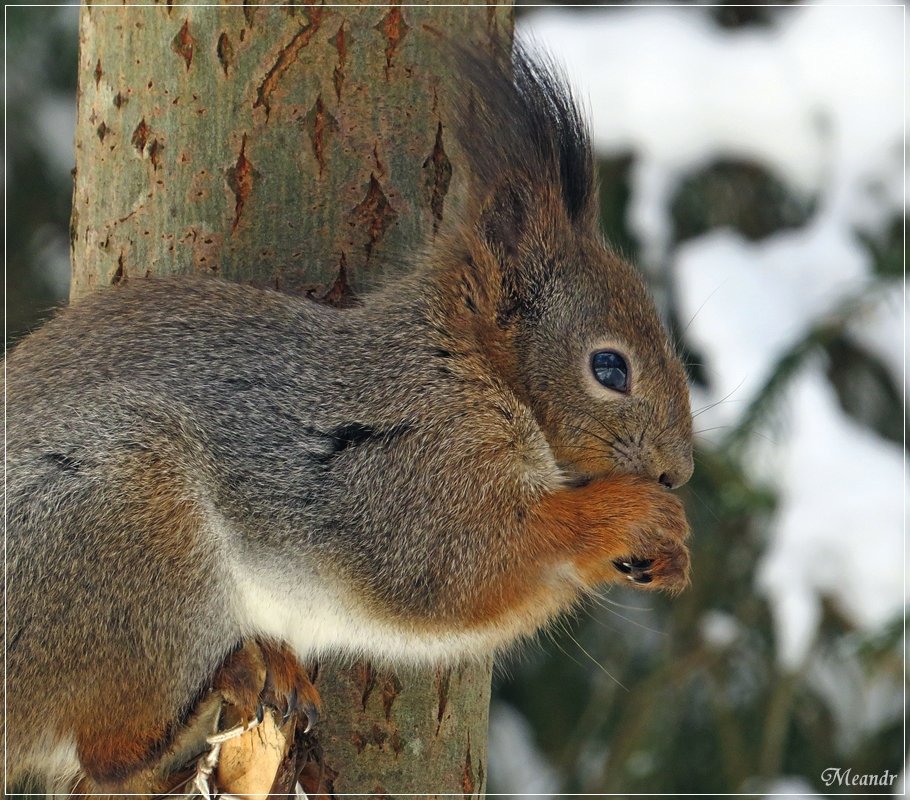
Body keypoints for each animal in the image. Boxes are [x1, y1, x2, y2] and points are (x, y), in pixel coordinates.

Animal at [3, 47, 696, 796]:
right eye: (610, 368)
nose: (678, 471)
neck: (467, 369)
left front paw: (669, 557)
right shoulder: (409, 473)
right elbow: (473, 568)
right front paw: (635, 515)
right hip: (126, 530)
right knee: (107, 754)